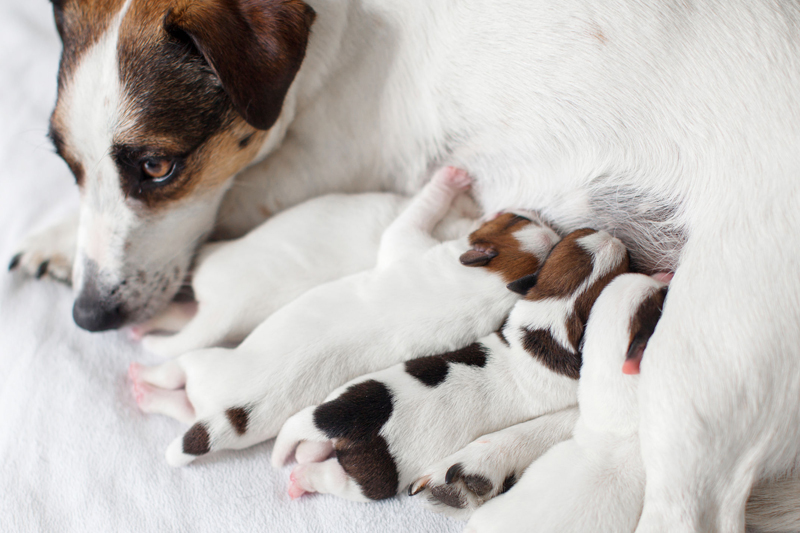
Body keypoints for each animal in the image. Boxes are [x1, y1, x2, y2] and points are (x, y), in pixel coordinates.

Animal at [130, 166, 564, 466]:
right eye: (521, 221)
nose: (532, 209)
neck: (487, 284)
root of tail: (226, 416)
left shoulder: (407, 243)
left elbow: (417, 211)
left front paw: (448, 181)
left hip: (205, 359)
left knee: (174, 365)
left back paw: (143, 370)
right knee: (182, 403)